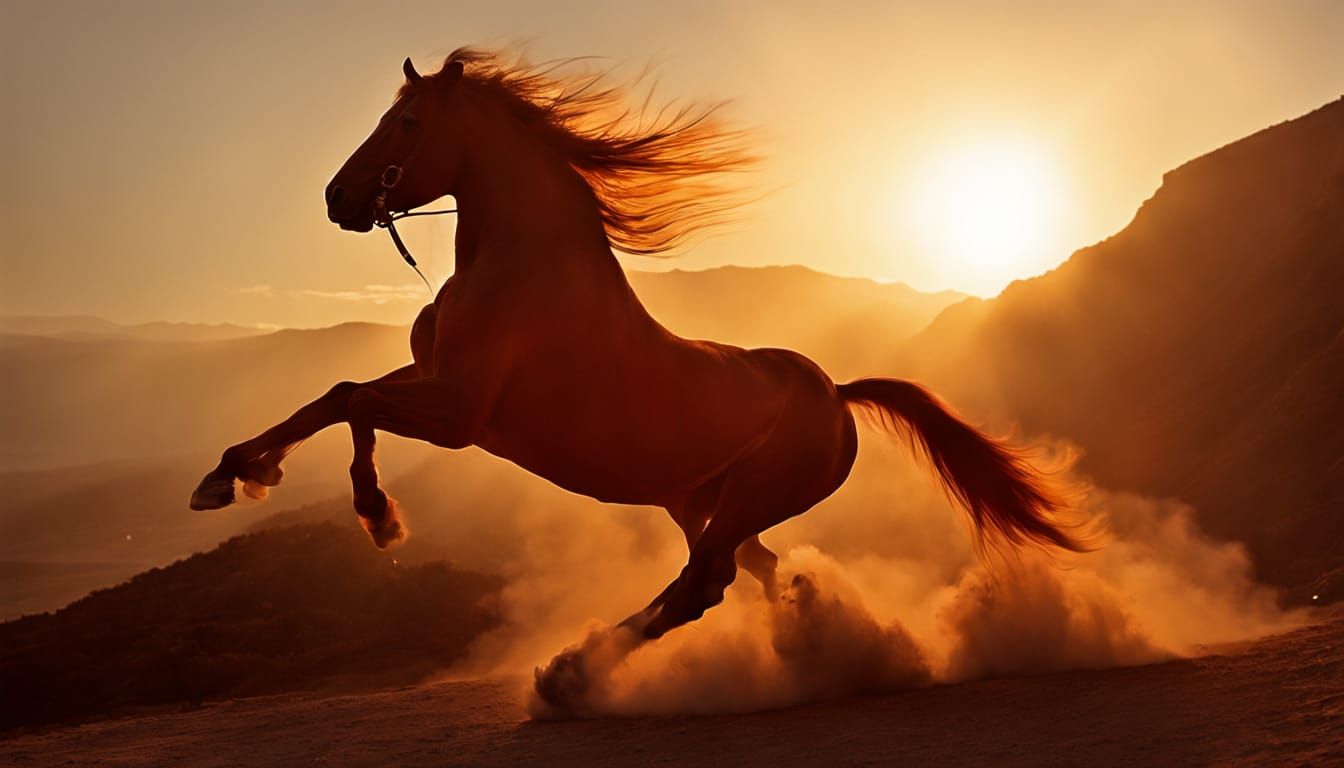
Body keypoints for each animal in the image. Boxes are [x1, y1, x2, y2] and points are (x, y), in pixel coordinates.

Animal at [191, 48, 1080, 664]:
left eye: (407, 123)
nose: (338, 197)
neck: (518, 267)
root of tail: (836, 394)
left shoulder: (461, 415)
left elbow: (353, 398)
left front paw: (377, 515)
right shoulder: (434, 380)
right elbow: (330, 396)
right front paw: (232, 474)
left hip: (749, 498)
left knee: (703, 583)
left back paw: (575, 672)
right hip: (699, 504)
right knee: (748, 571)